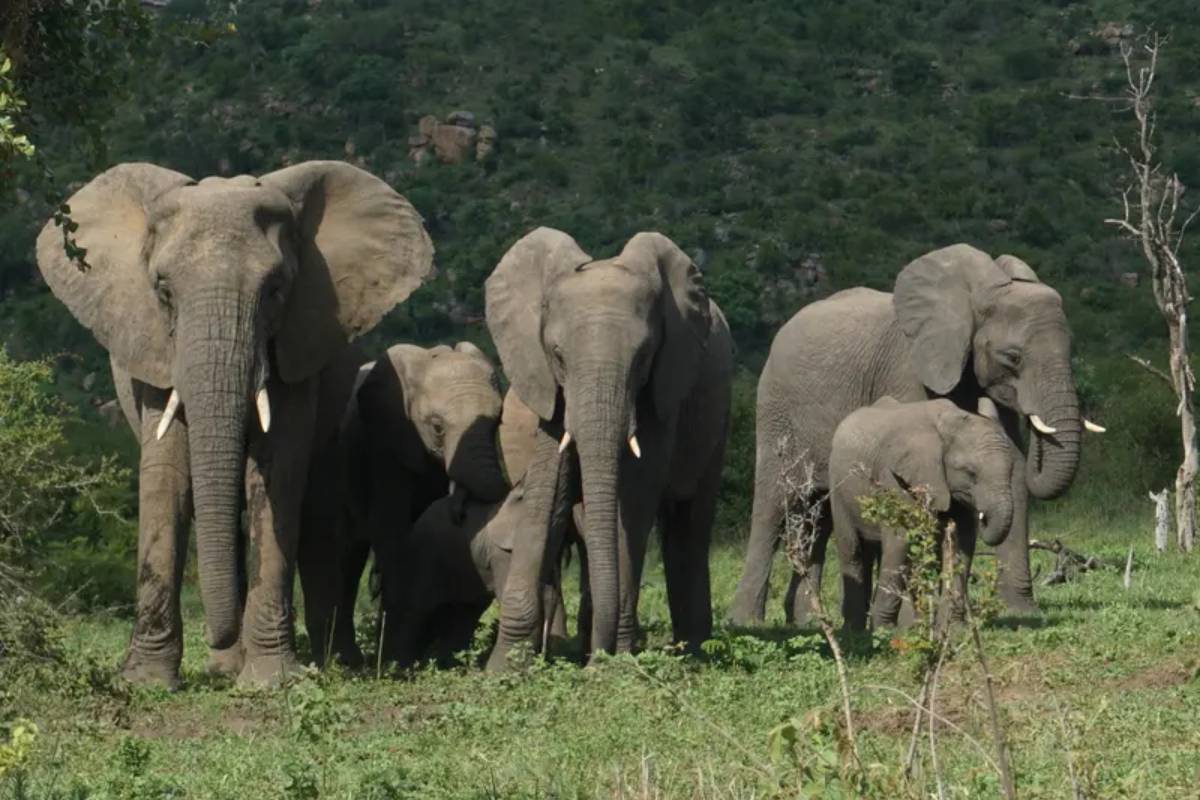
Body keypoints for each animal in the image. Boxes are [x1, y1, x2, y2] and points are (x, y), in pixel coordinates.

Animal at [36, 161, 434, 688]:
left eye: (275, 291)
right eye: (163, 291)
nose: (219, 635)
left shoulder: (294, 347)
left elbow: (275, 475)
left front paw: (272, 681)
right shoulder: (152, 349)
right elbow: (166, 478)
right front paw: (145, 682)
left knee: (316, 517)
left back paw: (326, 662)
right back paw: (227, 667)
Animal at [301, 341, 510, 667]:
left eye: (498, 422)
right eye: (437, 427)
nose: (460, 508)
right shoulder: (384, 447)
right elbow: (394, 532)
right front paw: (397, 660)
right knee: (345, 553)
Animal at [482, 227, 733, 668]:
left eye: (644, 356)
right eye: (558, 355)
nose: (599, 657)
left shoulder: (662, 387)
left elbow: (634, 497)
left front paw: (612, 661)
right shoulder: (548, 386)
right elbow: (549, 490)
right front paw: (503, 668)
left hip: (717, 415)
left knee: (689, 522)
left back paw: (691, 652)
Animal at [829, 398, 1015, 631]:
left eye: (1012, 470)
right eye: (970, 473)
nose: (983, 516)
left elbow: (960, 545)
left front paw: (955, 630)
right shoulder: (896, 478)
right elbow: (900, 542)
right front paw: (884, 632)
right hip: (839, 491)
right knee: (853, 551)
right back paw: (854, 631)